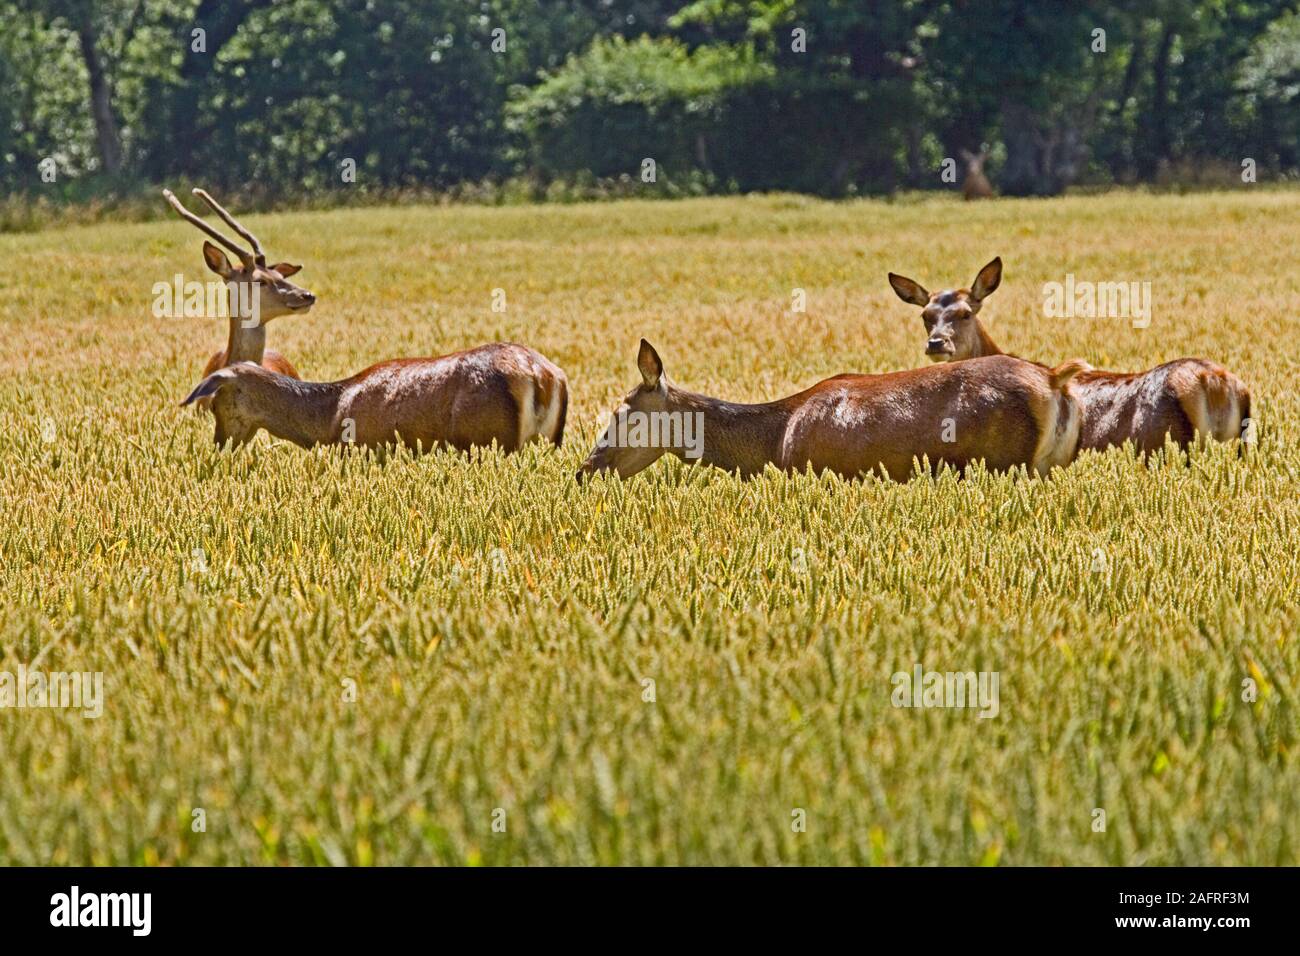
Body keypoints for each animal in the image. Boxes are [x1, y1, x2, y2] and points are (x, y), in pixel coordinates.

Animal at [181, 343, 568, 454]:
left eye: (214, 403)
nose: (220, 443)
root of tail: (543, 377)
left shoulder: (365, 447)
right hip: (550, 439)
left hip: (492, 437)